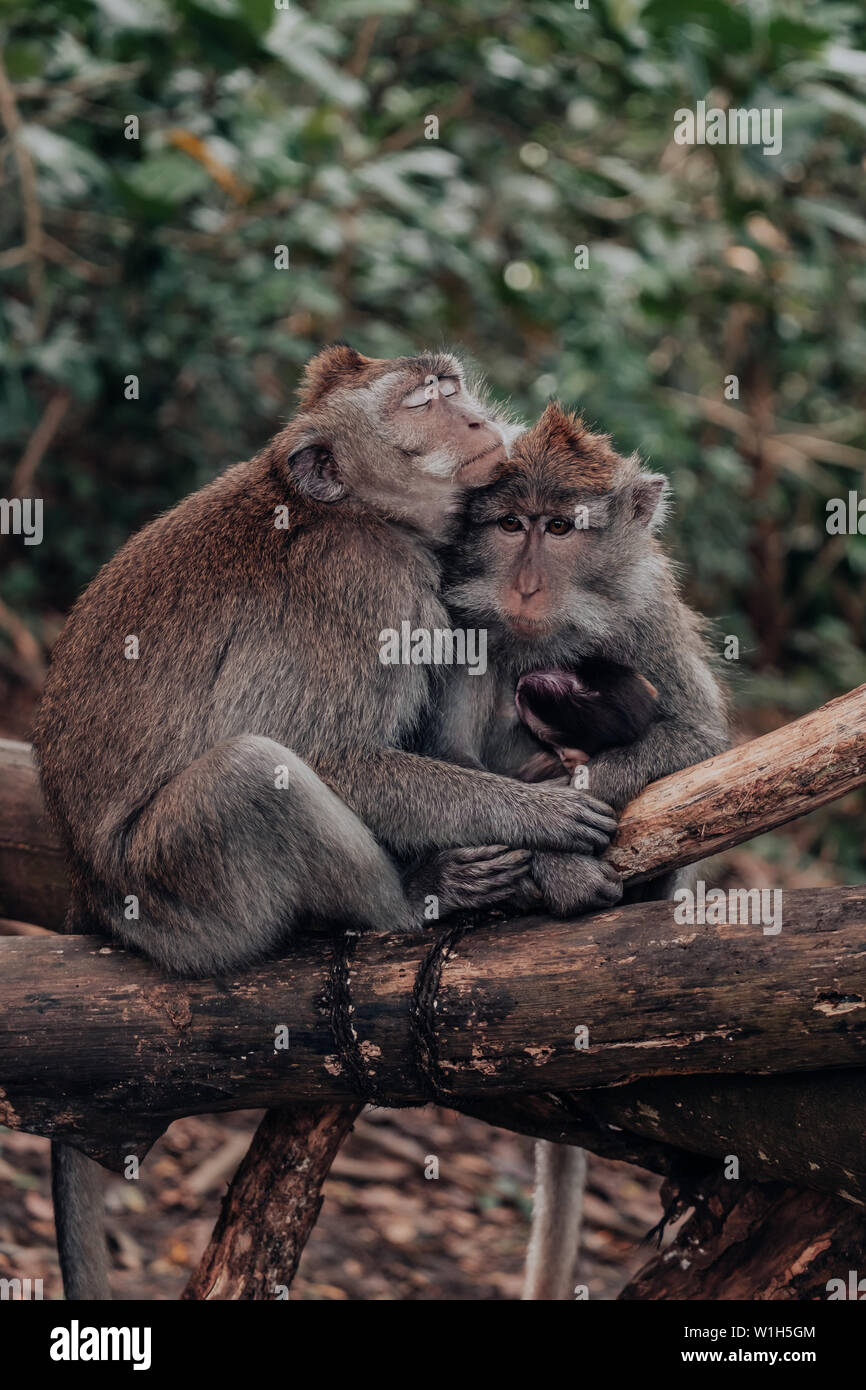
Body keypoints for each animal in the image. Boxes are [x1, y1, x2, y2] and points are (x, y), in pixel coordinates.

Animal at [34, 348, 618, 1299]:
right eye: (424, 402)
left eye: (453, 386)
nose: (476, 422)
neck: (357, 510)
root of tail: (89, 898)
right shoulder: (366, 583)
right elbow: (328, 752)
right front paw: (542, 814)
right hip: (179, 907)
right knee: (248, 776)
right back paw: (415, 901)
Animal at [434, 399, 730, 1299]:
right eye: (510, 525)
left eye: (561, 527)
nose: (526, 583)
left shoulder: (646, 610)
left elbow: (696, 739)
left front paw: (561, 842)